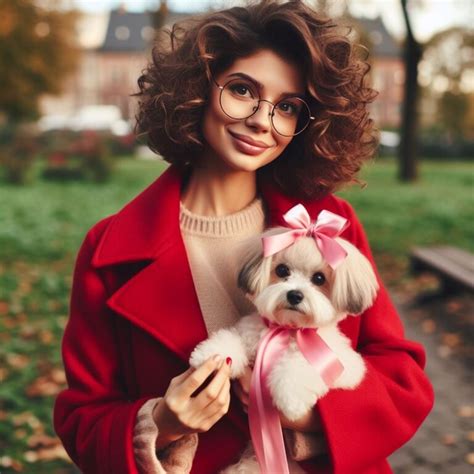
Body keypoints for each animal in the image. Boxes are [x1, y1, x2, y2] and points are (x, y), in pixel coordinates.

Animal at [189, 228, 378, 472]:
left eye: (319, 278)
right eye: (282, 270)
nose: (295, 295)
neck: (288, 331)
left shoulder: (345, 367)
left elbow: (301, 365)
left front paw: (291, 398)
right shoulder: (251, 335)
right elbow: (233, 339)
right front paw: (212, 354)